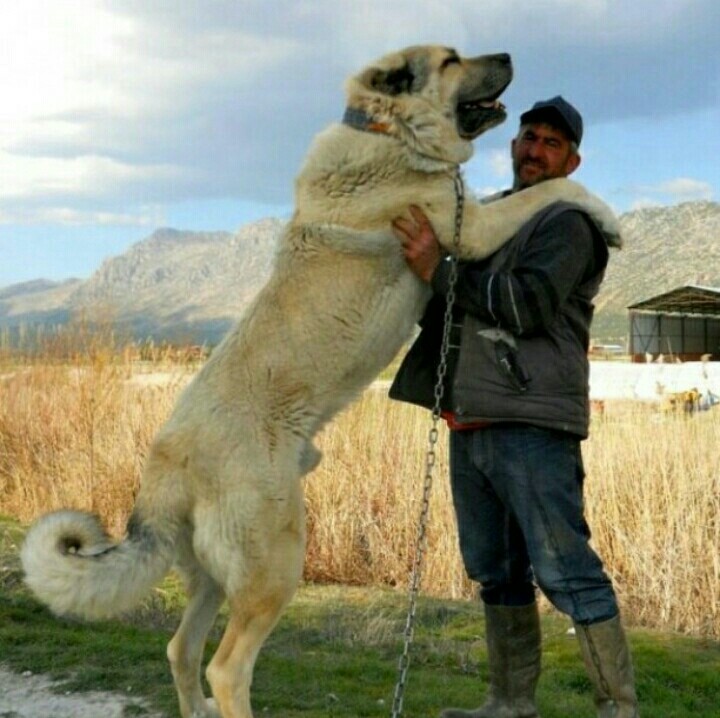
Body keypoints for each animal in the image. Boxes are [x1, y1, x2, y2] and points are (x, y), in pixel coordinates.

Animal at [19, 46, 620, 718]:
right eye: (451, 59)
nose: (511, 55)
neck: (386, 130)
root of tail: (166, 465)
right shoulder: (472, 228)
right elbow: (555, 189)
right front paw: (608, 219)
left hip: (214, 575)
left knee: (180, 649)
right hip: (275, 563)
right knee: (226, 667)